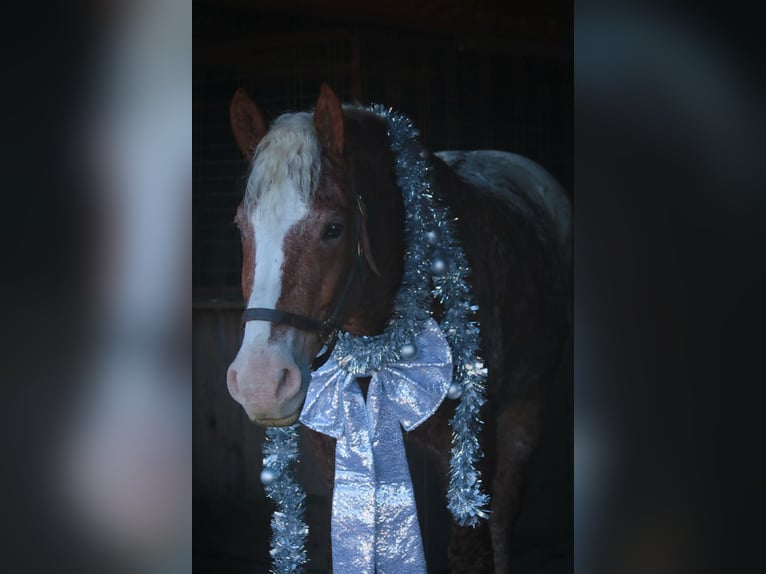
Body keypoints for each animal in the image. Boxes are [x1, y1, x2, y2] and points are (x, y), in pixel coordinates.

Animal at [226, 83, 571, 573]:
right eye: (241, 226)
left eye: (334, 228)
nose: (261, 382)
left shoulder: (470, 449)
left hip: (526, 407)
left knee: (505, 509)